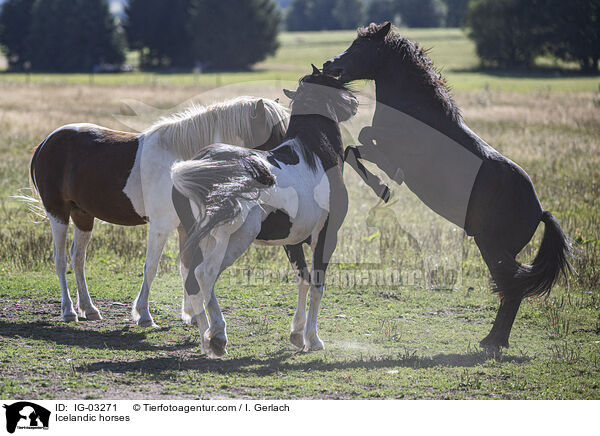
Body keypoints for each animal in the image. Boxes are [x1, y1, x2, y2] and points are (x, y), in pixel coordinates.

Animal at [30, 96, 288, 328]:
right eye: (275, 135)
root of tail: (44, 144)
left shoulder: (188, 225)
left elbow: (187, 266)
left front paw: (192, 315)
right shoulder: (160, 226)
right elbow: (151, 267)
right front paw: (144, 314)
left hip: (83, 215)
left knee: (78, 258)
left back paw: (89, 309)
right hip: (58, 213)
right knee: (61, 260)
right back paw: (68, 311)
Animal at [324, 22, 572, 352]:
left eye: (362, 46)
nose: (329, 65)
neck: (416, 111)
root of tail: (539, 211)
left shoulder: (394, 147)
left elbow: (365, 136)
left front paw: (385, 184)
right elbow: (354, 148)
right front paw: (382, 186)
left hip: (491, 247)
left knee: (512, 289)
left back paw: (493, 342)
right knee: (511, 289)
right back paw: (494, 340)